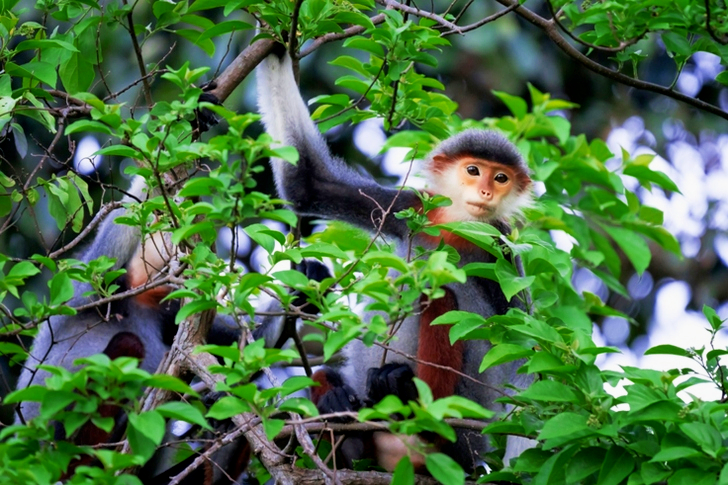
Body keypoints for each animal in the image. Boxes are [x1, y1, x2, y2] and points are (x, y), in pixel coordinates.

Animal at [257, 47, 535, 473]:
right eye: (473, 170)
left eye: (501, 178)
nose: (487, 190)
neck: (455, 227)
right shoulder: (412, 207)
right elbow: (307, 183)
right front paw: (274, 46)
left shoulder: (498, 244)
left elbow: (525, 348)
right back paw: (340, 410)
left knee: (439, 297)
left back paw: (414, 405)